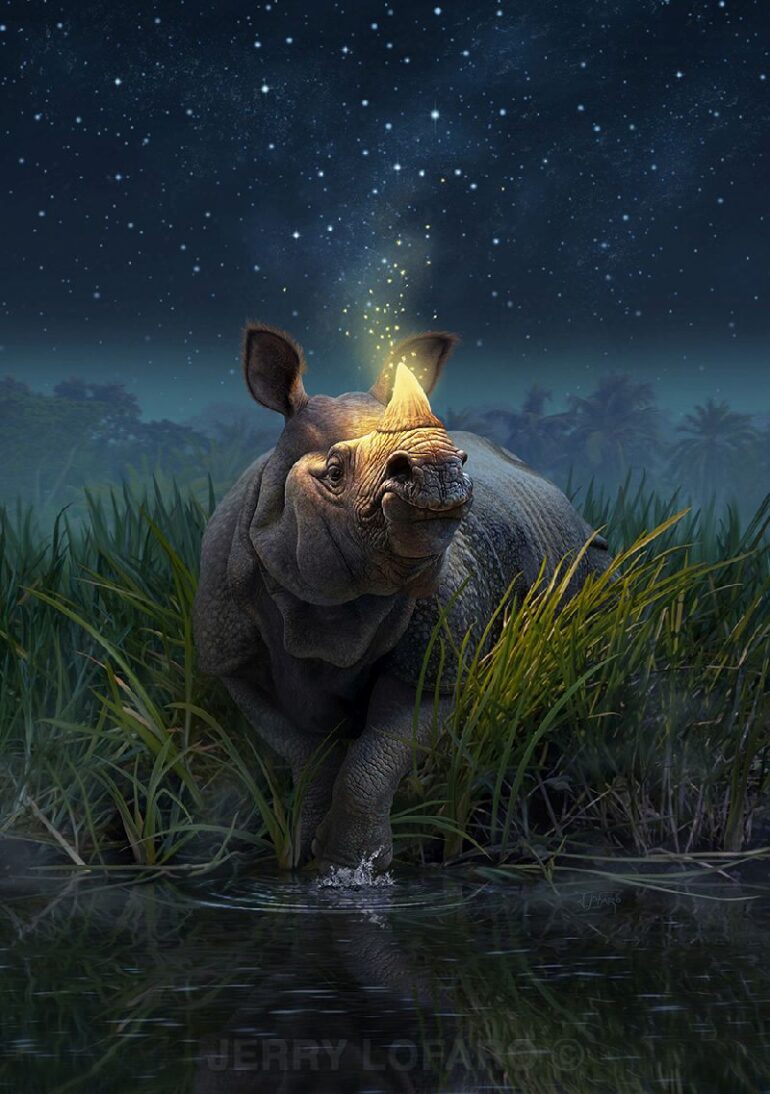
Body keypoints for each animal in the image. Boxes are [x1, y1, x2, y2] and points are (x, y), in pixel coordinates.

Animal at [193, 325, 611, 873]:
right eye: (333, 472)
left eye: (460, 459)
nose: (440, 472)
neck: (327, 609)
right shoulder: (232, 657)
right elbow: (308, 756)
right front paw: (307, 858)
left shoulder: (439, 664)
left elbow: (376, 758)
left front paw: (351, 864)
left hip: (588, 549)